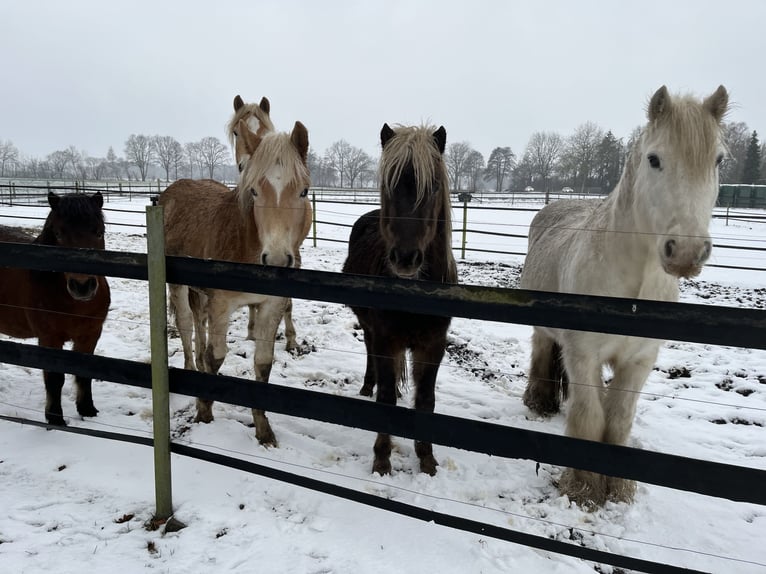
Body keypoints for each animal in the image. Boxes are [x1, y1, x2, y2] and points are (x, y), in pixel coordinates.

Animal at [0, 191, 110, 425]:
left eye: (99, 231)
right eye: (58, 234)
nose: (82, 286)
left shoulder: (90, 335)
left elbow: (84, 373)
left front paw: (87, 409)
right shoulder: (49, 338)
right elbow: (54, 378)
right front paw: (55, 419)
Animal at [160, 120, 312, 446]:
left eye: (304, 191)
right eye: (254, 191)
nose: (276, 259)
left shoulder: (271, 305)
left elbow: (263, 363)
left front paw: (263, 430)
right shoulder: (221, 303)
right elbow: (216, 356)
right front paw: (204, 411)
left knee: (198, 325)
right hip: (177, 287)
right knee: (186, 327)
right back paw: (191, 370)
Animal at [342, 123, 457, 476]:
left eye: (433, 186)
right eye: (388, 184)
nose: (405, 258)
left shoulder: (433, 344)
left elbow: (426, 401)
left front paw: (427, 459)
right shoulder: (386, 338)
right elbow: (387, 398)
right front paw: (382, 459)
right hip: (370, 328)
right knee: (369, 354)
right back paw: (367, 385)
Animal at [519, 85, 729, 508]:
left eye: (718, 160)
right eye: (654, 159)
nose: (686, 251)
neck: (635, 291)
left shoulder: (639, 362)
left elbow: (616, 419)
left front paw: (616, 487)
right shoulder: (584, 354)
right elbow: (591, 417)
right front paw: (584, 487)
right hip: (545, 333)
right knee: (542, 354)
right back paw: (540, 401)